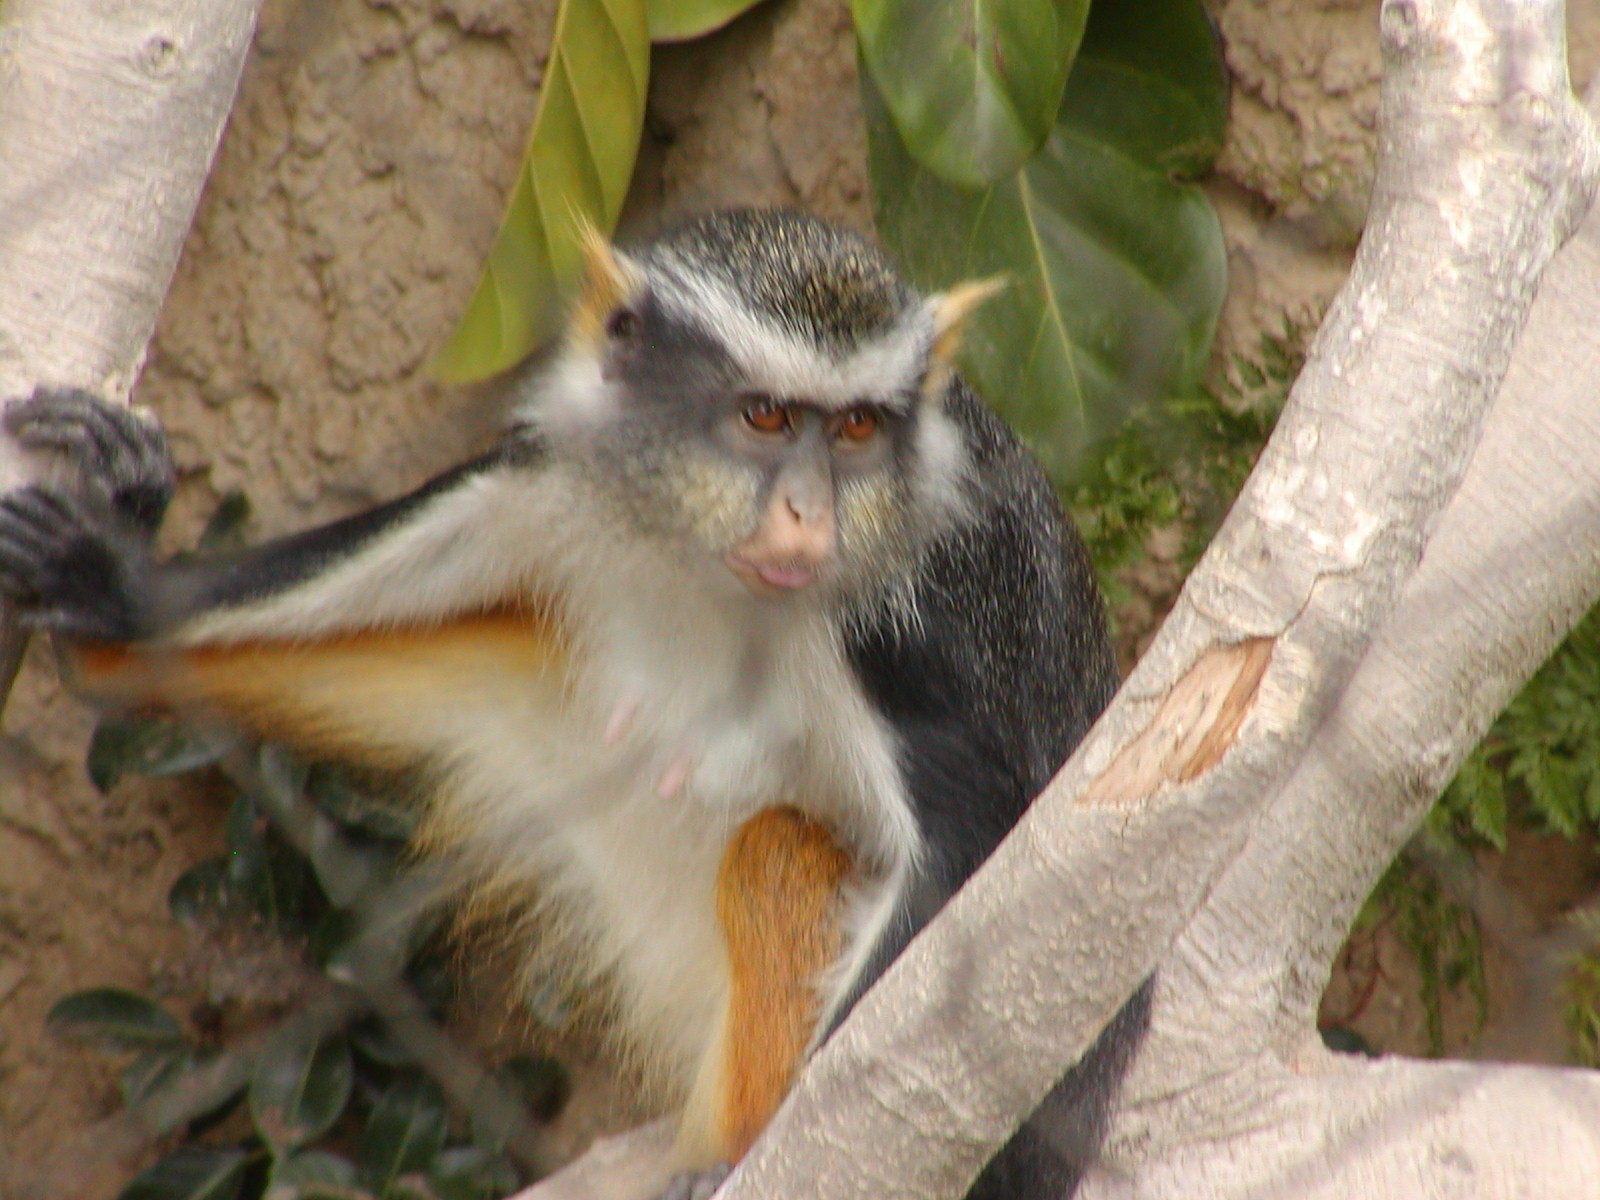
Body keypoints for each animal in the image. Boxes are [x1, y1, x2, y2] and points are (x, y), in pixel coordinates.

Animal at [0, 210, 1149, 1198]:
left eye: (859, 430)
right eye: (766, 416)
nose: (809, 513)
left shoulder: (906, 635)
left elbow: (962, 865)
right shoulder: (551, 470)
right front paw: (120, 581)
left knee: (776, 853)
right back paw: (107, 632)